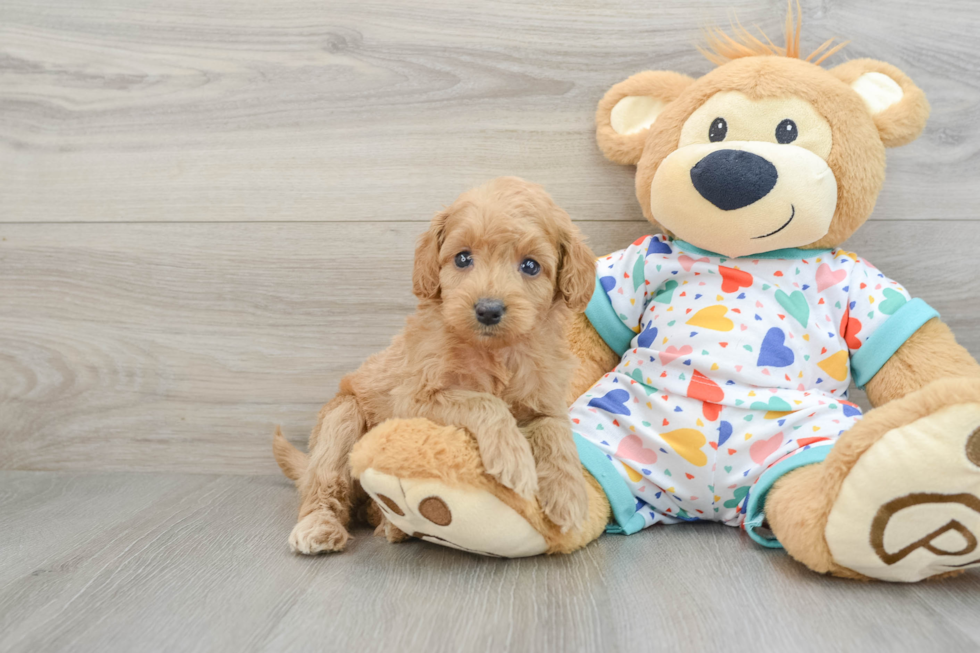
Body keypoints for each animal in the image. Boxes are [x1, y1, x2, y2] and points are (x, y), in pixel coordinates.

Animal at [276, 176, 596, 552]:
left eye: (531, 266)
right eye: (462, 258)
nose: (488, 309)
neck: (495, 351)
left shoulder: (546, 397)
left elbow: (555, 431)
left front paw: (569, 495)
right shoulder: (413, 399)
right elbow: (483, 401)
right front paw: (512, 456)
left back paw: (390, 524)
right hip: (341, 418)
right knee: (325, 484)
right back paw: (321, 525)